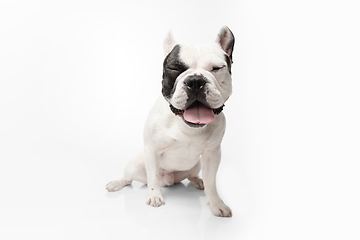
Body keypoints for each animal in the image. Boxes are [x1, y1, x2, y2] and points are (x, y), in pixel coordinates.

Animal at [106, 26, 236, 218]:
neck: (185, 125)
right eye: (174, 68)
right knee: (129, 177)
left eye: (217, 68)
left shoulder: (212, 155)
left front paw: (216, 204)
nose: (195, 81)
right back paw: (117, 183)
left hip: (196, 165)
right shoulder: (152, 150)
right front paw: (154, 196)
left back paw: (198, 181)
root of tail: (169, 180)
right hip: (135, 165)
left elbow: (212, 183)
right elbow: (152, 177)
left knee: (193, 175)